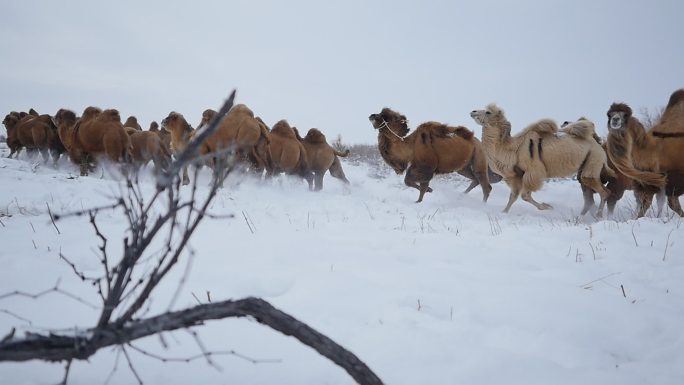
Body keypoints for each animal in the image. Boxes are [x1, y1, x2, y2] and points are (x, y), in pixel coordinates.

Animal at [470, 103, 616, 214]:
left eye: (488, 112)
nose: (473, 111)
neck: (512, 148)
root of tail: (598, 144)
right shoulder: (516, 175)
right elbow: (513, 196)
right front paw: (504, 212)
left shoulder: (533, 171)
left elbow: (525, 195)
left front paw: (547, 206)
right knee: (602, 191)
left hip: (593, 161)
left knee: (603, 191)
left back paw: (598, 216)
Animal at [604, 88, 684, 218]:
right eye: (609, 114)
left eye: (625, 115)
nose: (615, 120)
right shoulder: (651, 182)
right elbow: (646, 203)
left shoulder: (673, 178)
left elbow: (671, 204)